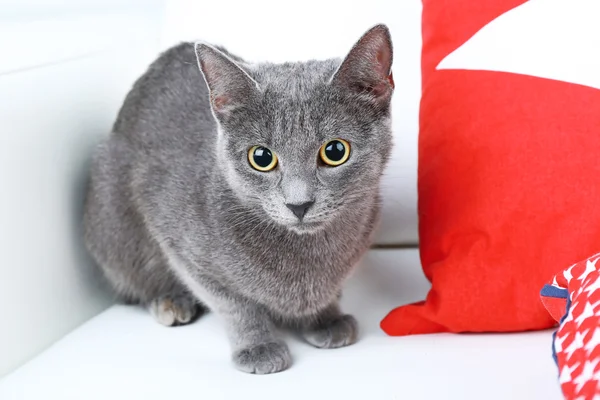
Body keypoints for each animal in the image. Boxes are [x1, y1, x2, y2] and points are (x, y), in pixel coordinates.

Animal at [83, 24, 394, 376]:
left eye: (335, 151)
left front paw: (326, 318)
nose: (298, 204)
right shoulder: (184, 250)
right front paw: (258, 347)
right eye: (261, 157)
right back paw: (170, 301)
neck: (308, 252)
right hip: (112, 215)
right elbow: (235, 305)